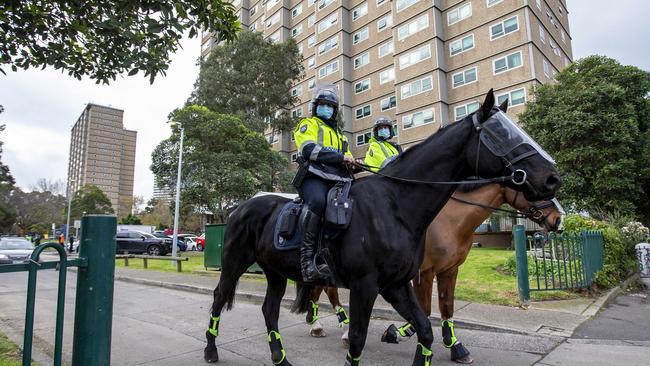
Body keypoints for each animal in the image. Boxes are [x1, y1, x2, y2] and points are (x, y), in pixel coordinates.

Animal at [306, 182, 560, 362]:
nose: (558, 219)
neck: (449, 219)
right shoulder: (425, 272)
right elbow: (426, 309)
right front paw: (397, 332)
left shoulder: (450, 269)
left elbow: (446, 307)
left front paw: (456, 347)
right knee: (321, 289)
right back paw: (319, 326)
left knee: (327, 290)